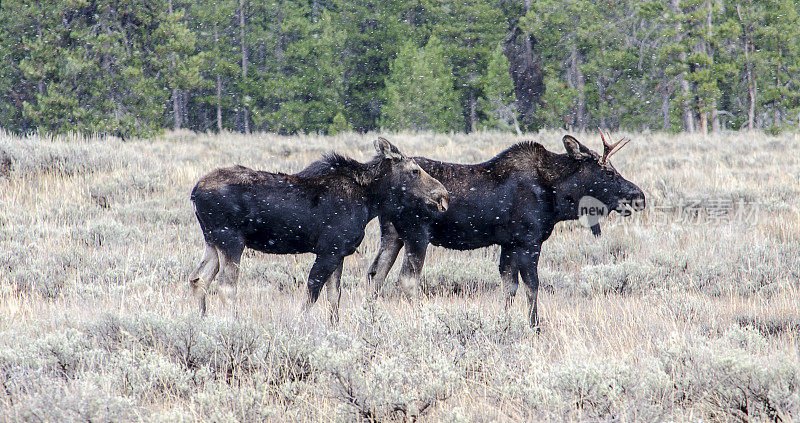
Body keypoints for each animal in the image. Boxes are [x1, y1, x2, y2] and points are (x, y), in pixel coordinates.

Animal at [188, 138, 450, 322]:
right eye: (415, 170)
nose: (443, 194)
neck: (370, 201)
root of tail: (195, 192)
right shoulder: (328, 250)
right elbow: (312, 294)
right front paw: (301, 324)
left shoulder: (339, 252)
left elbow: (334, 296)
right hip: (231, 239)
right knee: (226, 286)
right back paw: (232, 323)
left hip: (211, 241)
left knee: (198, 278)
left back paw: (201, 321)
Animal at [368, 132, 644, 332]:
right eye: (609, 171)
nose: (638, 195)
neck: (557, 196)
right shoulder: (529, 240)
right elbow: (532, 285)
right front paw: (534, 327)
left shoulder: (509, 243)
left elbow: (509, 286)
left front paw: (506, 323)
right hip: (417, 234)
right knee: (407, 279)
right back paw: (421, 320)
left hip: (392, 234)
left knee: (376, 274)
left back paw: (370, 318)